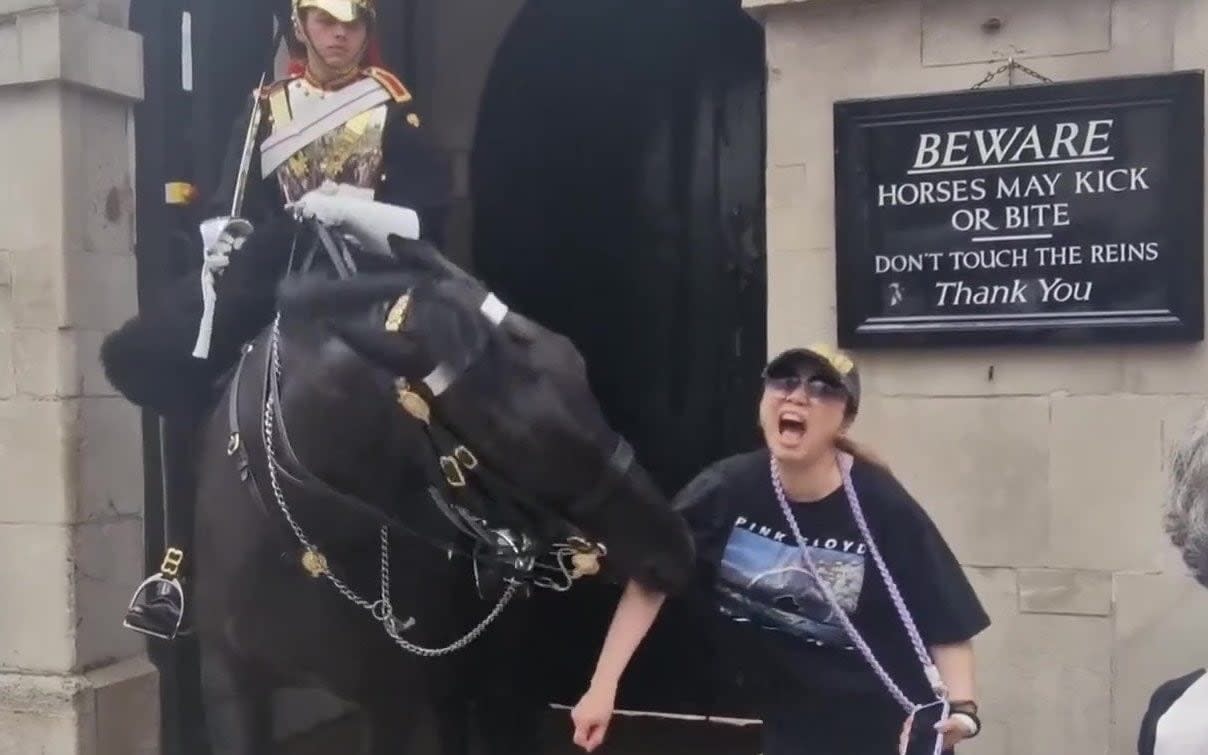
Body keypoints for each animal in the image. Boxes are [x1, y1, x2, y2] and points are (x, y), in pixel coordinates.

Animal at [108, 224, 695, 753]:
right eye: (511, 433)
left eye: (577, 361)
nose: (676, 550)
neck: (303, 536)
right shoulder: (233, 681)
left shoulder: (392, 696)